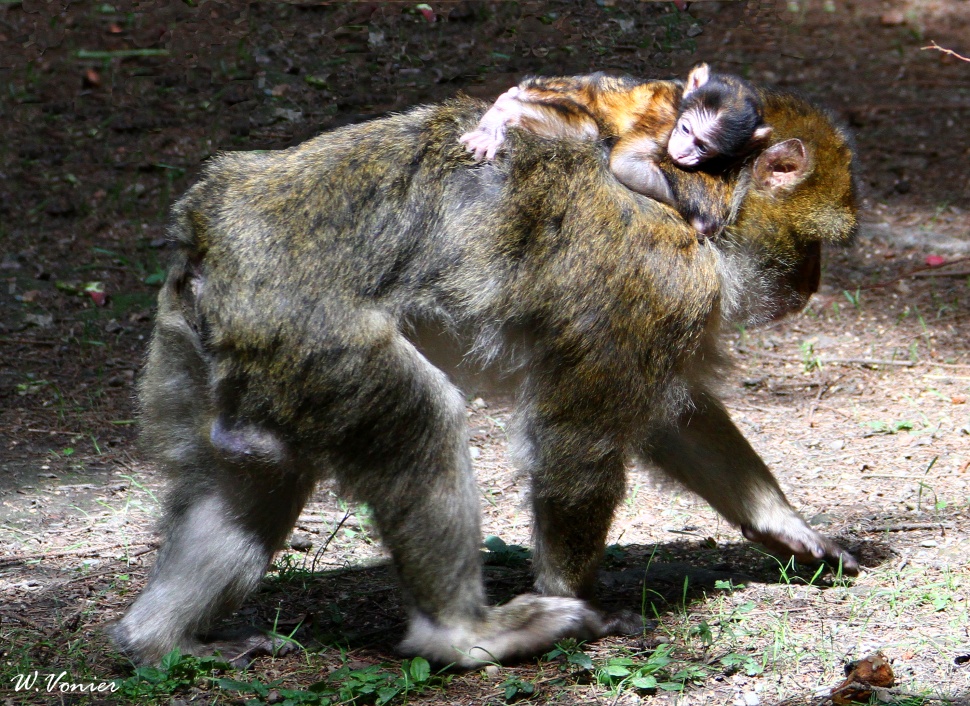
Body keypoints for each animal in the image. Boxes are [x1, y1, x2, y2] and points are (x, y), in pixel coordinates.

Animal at [460, 64, 772, 234]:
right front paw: (700, 221)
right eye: (685, 130)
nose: (683, 152)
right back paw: (503, 110)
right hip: (557, 92)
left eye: (703, 146)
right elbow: (625, 163)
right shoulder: (663, 123)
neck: (680, 103)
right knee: (586, 129)